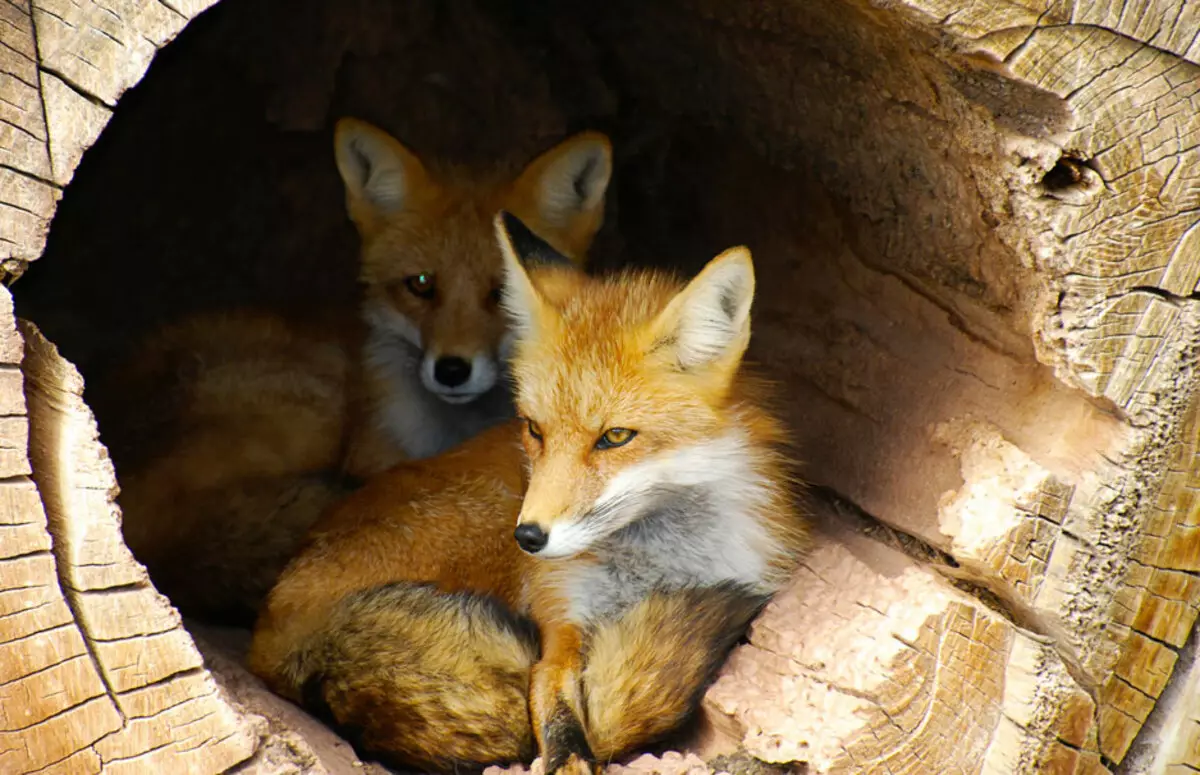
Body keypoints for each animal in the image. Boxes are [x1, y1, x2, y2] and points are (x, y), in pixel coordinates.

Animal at [244, 213, 811, 775]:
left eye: (615, 436)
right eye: (535, 429)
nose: (530, 538)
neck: (654, 570)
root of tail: (277, 620)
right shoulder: (558, 625)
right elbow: (564, 724)